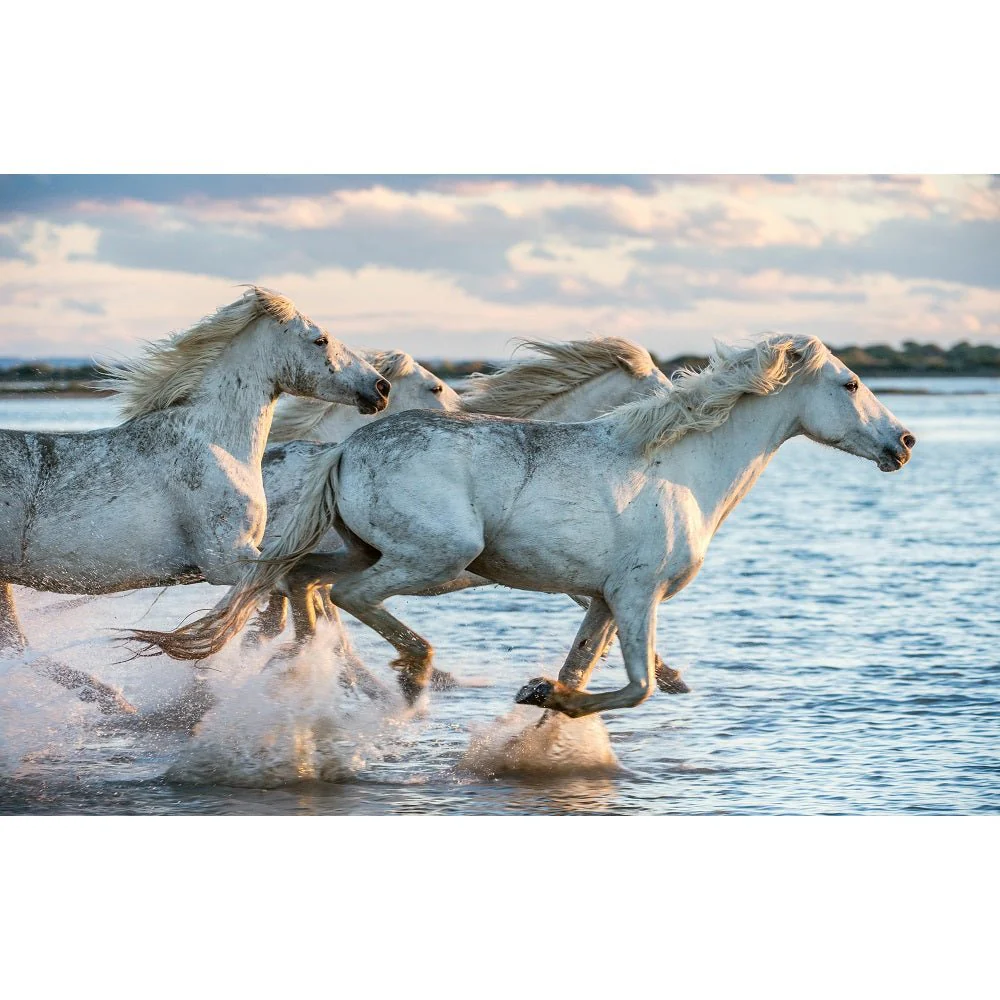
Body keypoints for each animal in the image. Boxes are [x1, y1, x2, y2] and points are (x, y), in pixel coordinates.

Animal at [0, 286, 388, 699]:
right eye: (320, 340)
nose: (380, 388)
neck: (215, 445)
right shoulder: (226, 561)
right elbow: (294, 597)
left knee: (15, 645)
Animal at [131, 333, 916, 718]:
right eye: (850, 383)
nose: (904, 442)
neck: (680, 469)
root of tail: (347, 447)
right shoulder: (636, 595)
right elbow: (637, 686)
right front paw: (545, 695)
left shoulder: (600, 599)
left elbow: (590, 667)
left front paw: (550, 701)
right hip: (435, 557)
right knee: (344, 599)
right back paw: (410, 674)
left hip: (363, 551)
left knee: (301, 582)